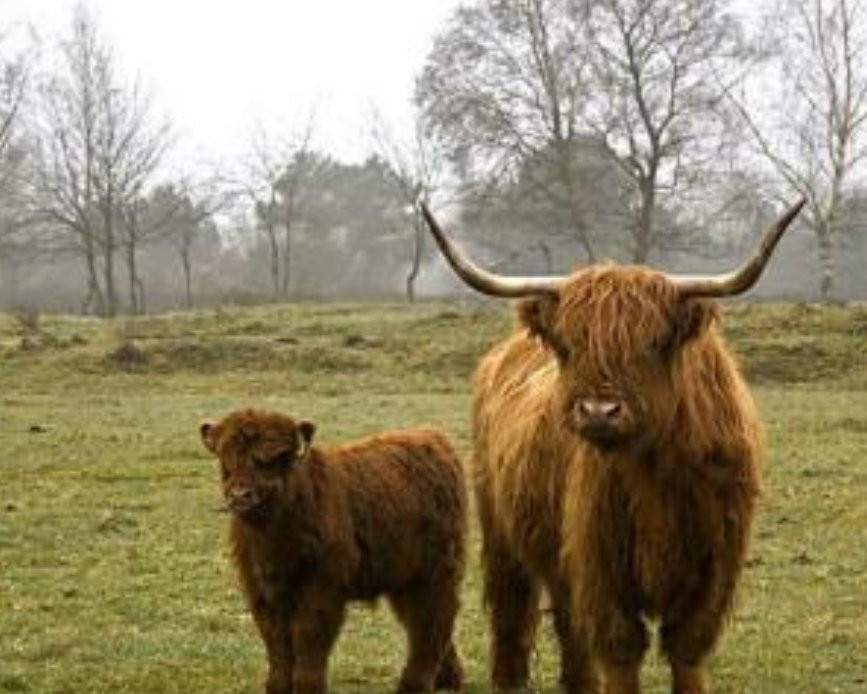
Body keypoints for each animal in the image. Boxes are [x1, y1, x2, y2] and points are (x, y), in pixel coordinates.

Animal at [200, 410, 468, 692]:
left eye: (275, 459)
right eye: (225, 459)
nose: (240, 495)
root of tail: (433, 438)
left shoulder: (322, 588)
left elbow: (308, 636)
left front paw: (308, 686)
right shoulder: (262, 591)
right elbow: (276, 641)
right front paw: (277, 686)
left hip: (435, 570)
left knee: (433, 619)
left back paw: (415, 684)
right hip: (403, 577)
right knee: (426, 621)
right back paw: (448, 679)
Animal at [420, 197, 808, 694]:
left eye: (653, 343)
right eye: (569, 344)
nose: (598, 411)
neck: (655, 472)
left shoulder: (715, 567)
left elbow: (687, 649)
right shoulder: (600, 564)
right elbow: (621, 650)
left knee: (568, 626)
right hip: (501, 529)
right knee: (513, 612)